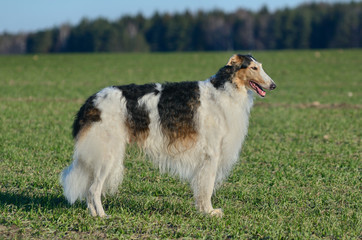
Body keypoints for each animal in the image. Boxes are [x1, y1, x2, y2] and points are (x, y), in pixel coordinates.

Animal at [61, 54, 278, 218]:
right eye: (253, 68)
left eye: (260, 66)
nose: (274, 85)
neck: (224, 89)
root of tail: (91, 101)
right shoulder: (211, 154)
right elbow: (207, 187)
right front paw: (210, 212)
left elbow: (201, 187)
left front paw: (202, 210)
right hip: (107, 154)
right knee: (93, 190)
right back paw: (102, 216)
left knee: (90, 190)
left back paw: (95, 214)